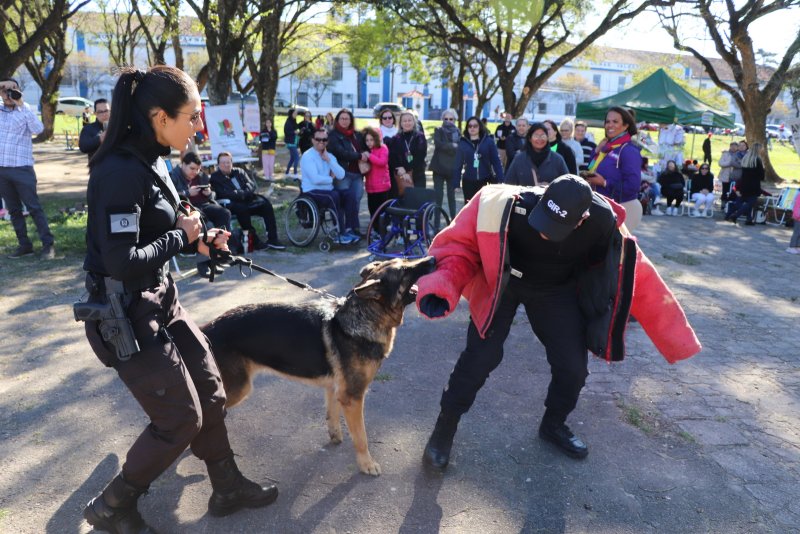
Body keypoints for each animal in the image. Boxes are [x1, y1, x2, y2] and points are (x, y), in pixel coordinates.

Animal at [203, 256, 434, 478]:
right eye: (404, 270)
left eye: (406, 260)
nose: (432, 259)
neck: (364, 315)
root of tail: (206, 329)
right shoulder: (353, 397)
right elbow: (361, 436)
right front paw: (366, 464)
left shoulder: (335, 390)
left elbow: (332, 416)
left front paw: (335, 437)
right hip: (239, 388)